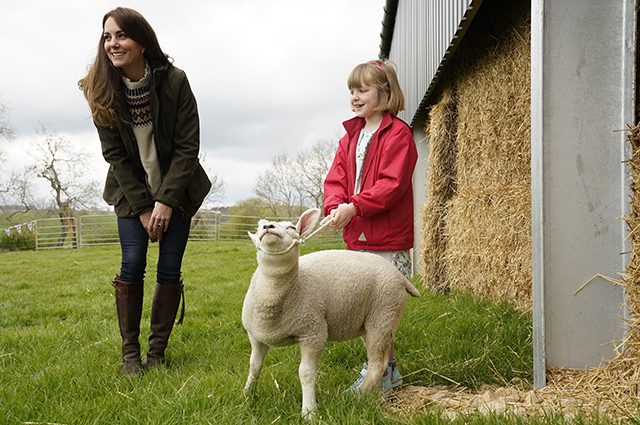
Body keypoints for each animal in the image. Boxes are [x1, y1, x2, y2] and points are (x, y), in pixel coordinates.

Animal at [241, 208, 420, 418]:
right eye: (259, 226)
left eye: (292, 227)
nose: (268, 227)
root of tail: (399, 275)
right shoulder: (256, 335)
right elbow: (254, 366)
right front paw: (247, 395)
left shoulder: (313, 332)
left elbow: (306, 373)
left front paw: (309, 412)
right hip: (372, 321)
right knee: (379, 359)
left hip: (384, 314)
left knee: (378, 363)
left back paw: (357, 396)